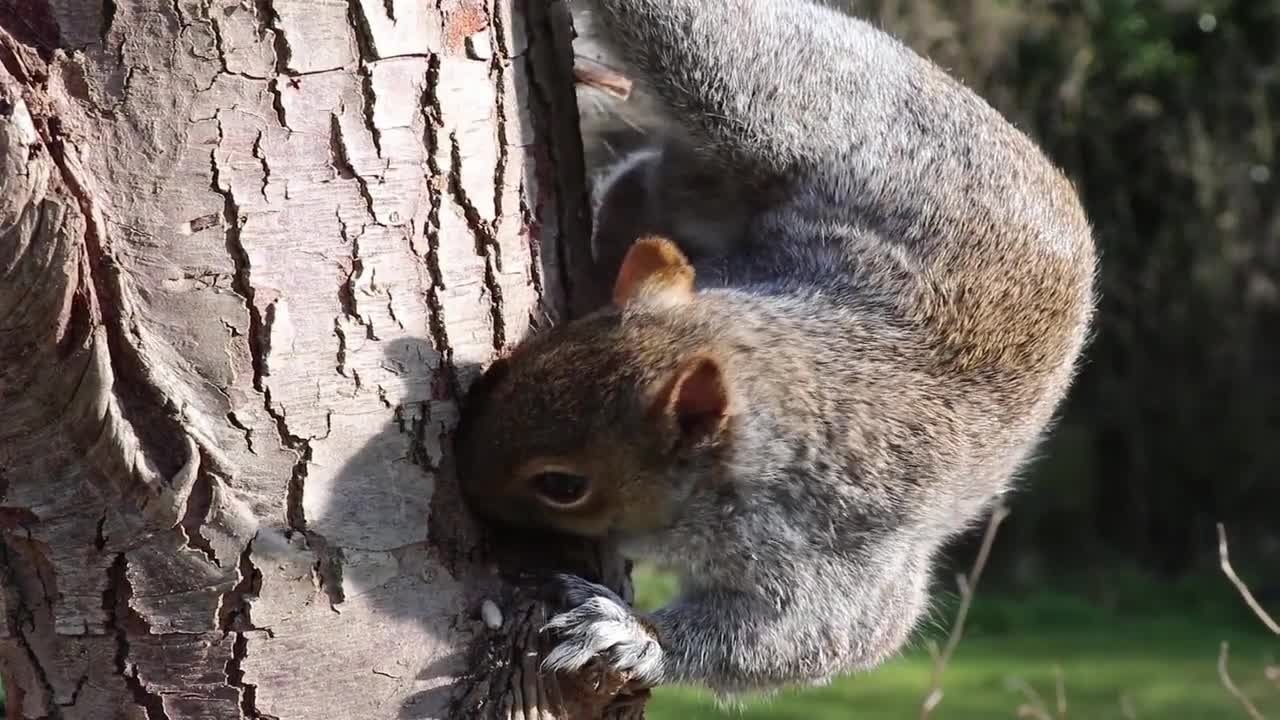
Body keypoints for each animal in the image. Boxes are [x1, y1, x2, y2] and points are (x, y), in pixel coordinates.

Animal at [455, 0, 1095, 696]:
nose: (462, 484)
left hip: (772, 106)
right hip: (758, 116)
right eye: (515, 367)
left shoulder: (833, 555)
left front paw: (629, 635)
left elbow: (809, 638)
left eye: (563, 485)